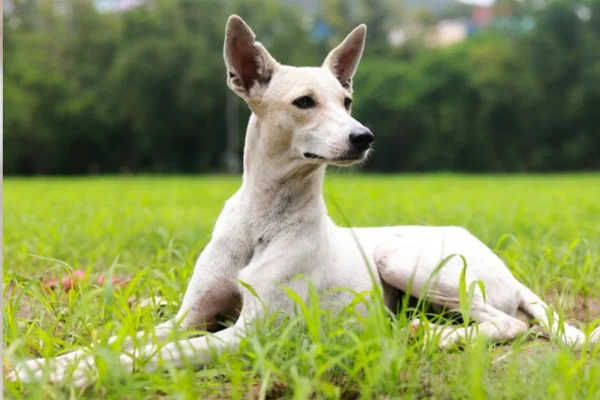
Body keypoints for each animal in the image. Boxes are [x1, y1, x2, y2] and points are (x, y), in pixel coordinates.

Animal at [9, 15, 600, 388]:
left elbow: (161, 353)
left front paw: (69, 375)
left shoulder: (250, 336)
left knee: (507, 324)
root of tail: (505, 268)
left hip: (409, 260)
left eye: (347, 100)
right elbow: (121, 341)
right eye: (303, 102)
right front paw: (42, 368)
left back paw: (428, 334)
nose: (364, 137)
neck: (263, 219)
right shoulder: (190, 316)